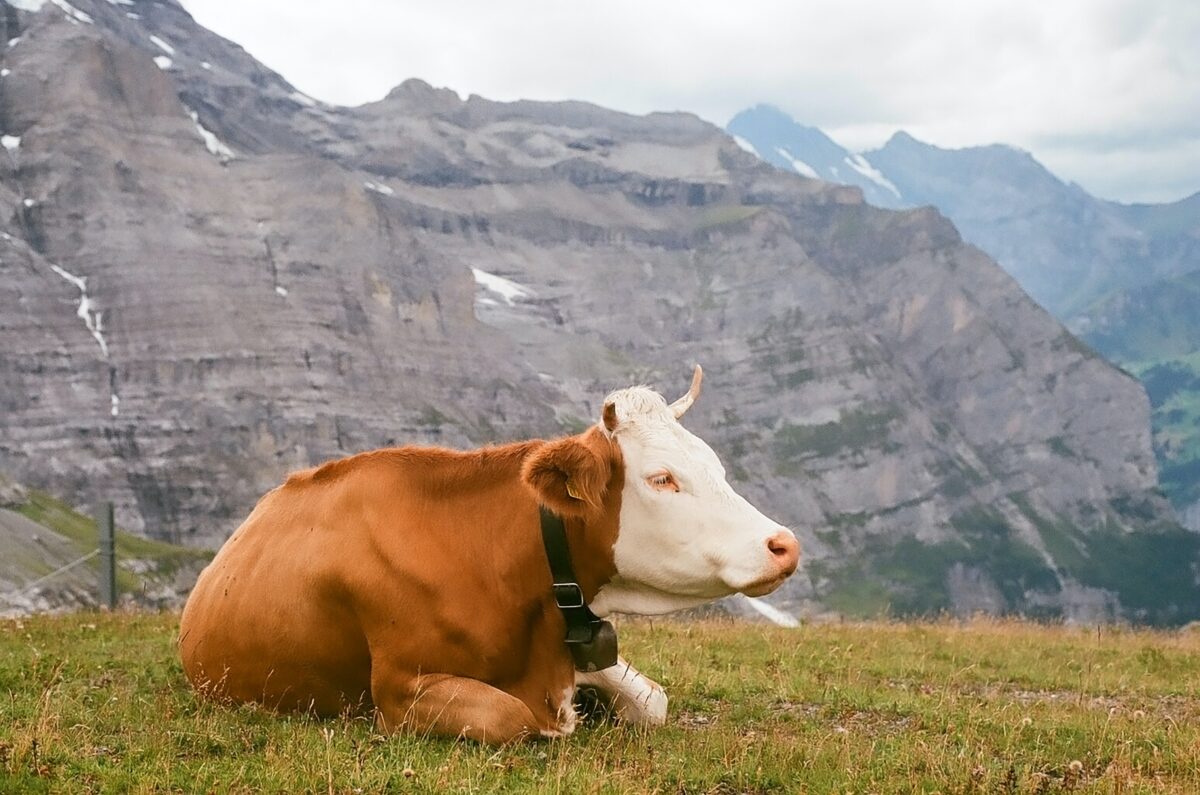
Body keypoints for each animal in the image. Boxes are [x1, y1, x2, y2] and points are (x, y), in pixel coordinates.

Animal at [177, 369, 796, 749]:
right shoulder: (398, 690)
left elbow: (654, 701)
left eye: (715, 466)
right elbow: (513, 717)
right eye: (662, 479)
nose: (784, 544)